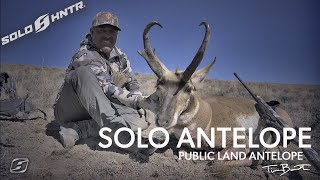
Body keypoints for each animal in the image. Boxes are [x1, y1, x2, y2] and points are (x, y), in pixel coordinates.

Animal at [138, 21, 292, 166]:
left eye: (188, 89)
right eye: (158, 86)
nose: (162, 121)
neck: (207, 115)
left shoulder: (242, 142)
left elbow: (216, 161)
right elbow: (181, 152)